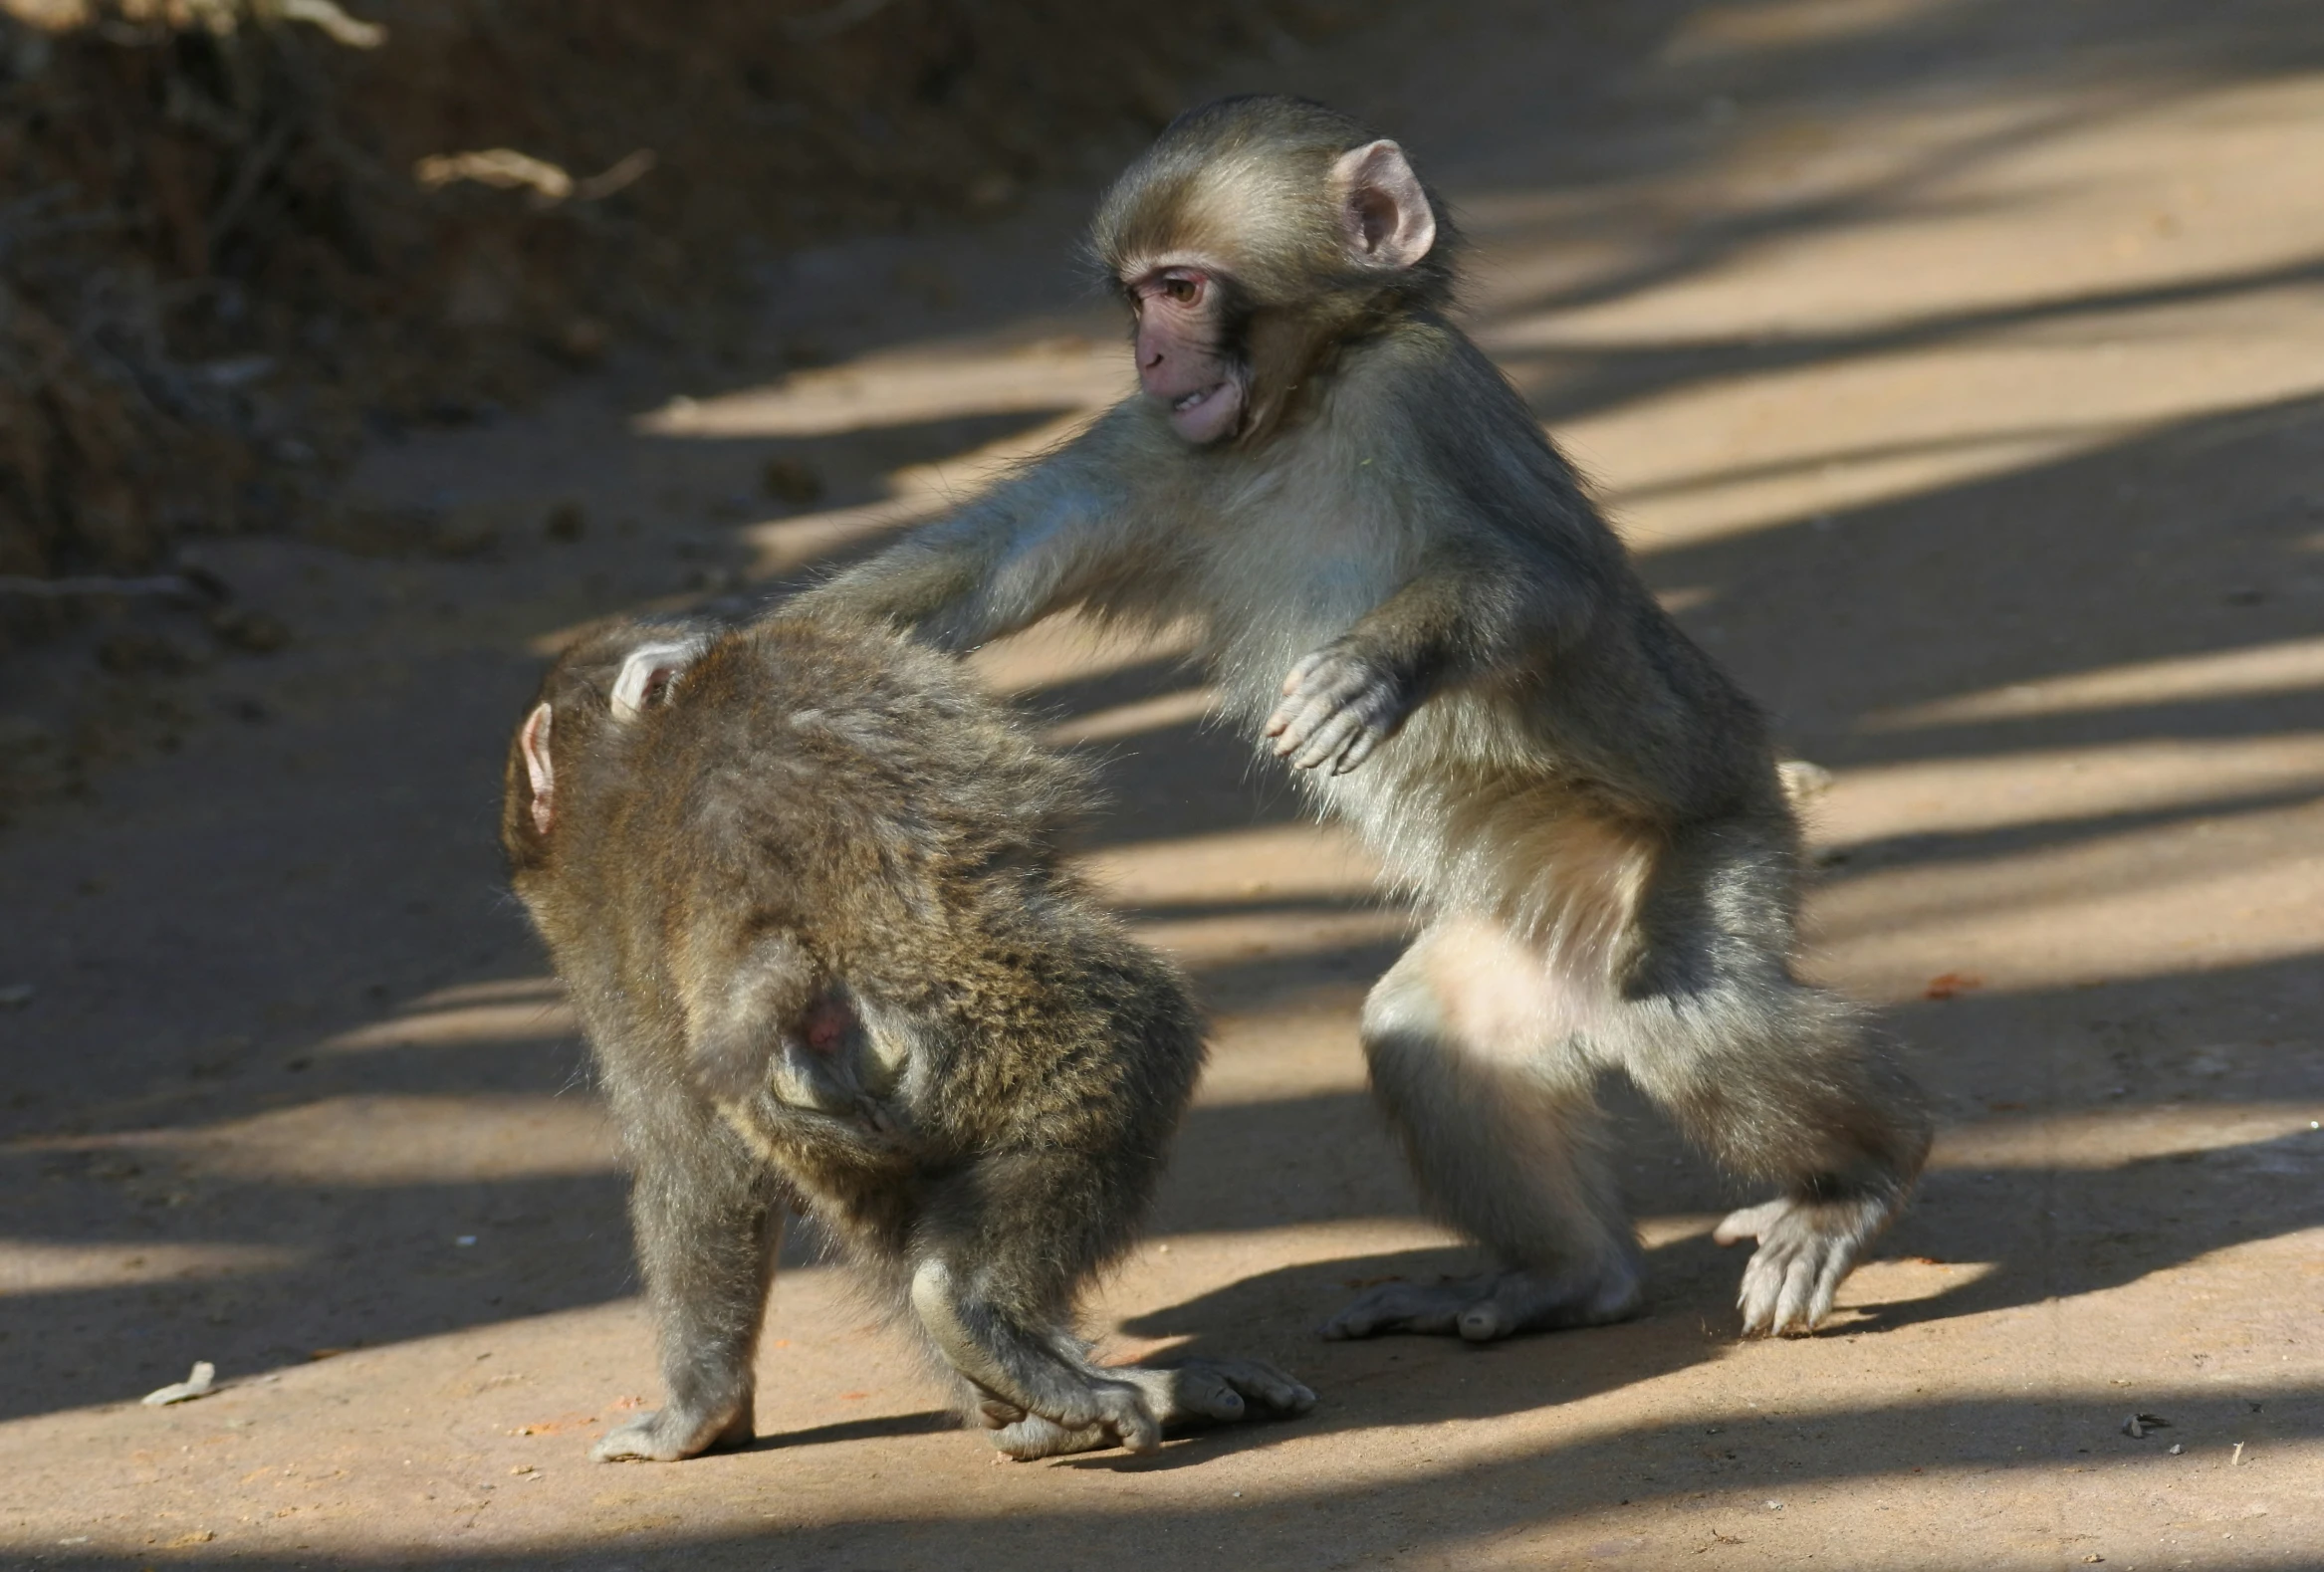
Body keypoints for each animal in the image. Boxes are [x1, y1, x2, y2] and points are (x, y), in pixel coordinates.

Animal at [502, 612, 1319, 1458]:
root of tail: (778, 970)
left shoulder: (593, 939)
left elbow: (695, 1160)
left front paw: (700, 1407)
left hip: (838, 1116)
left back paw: (1034, 1394)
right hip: (981, 1019)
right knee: (1141, 1032)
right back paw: (982, 1315)